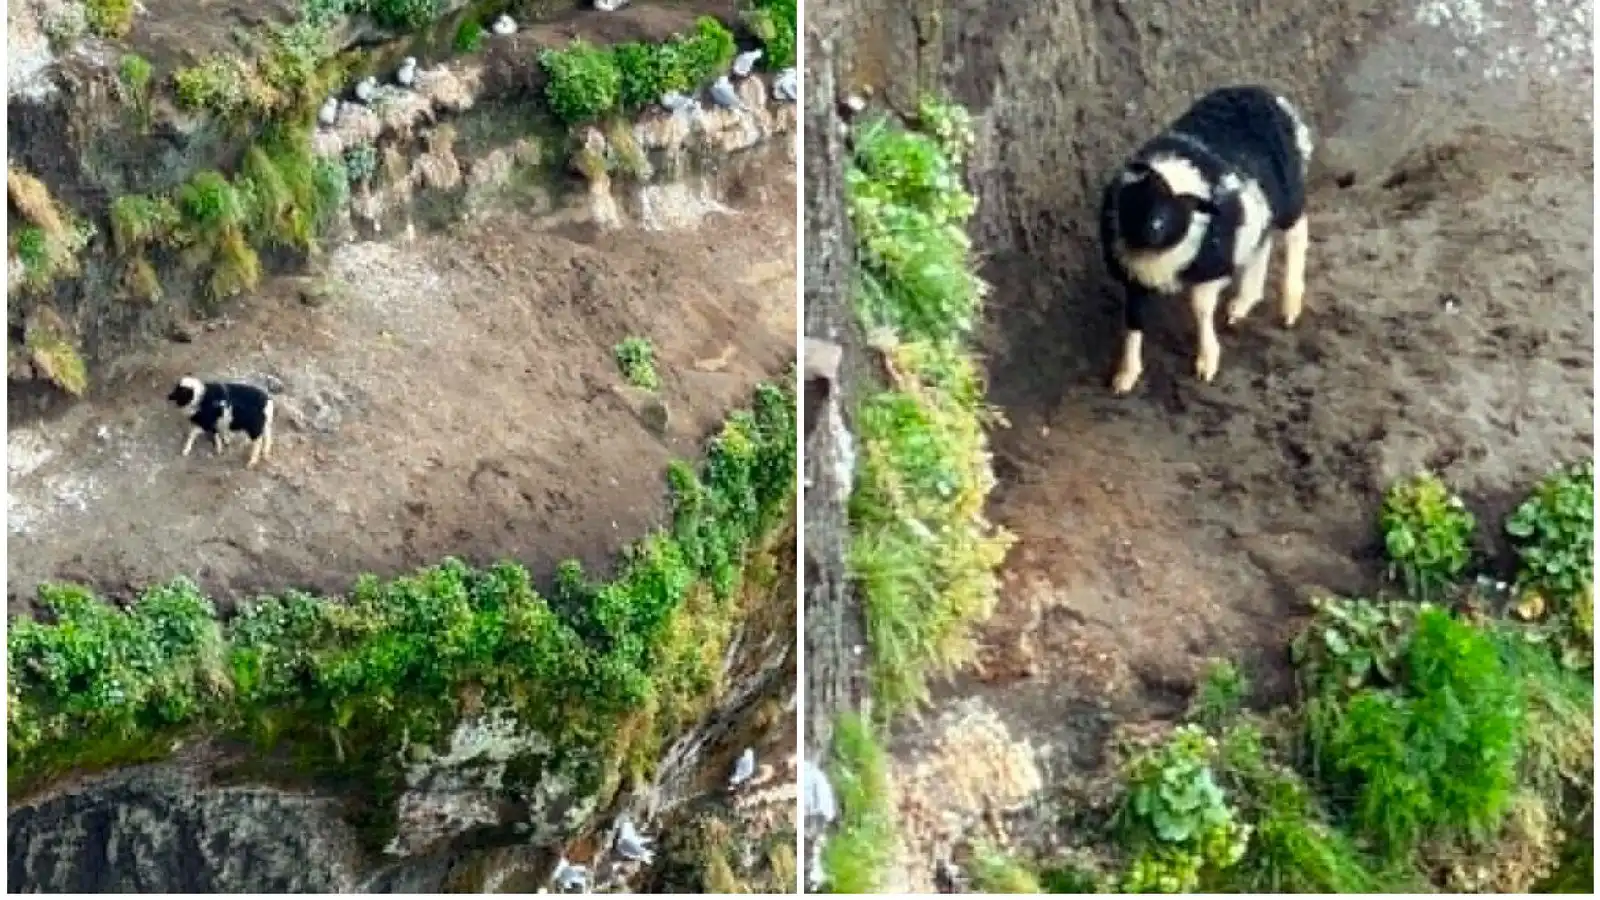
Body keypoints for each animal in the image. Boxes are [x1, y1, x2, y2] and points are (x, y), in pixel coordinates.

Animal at [1099, 85, 1314, 394]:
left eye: (1182, 209)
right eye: (1150, 193)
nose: (1153, 228)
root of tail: (1266, 93)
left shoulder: (1212, 268)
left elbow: (1200, 308)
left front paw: (1207, 361)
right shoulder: (1135, 276)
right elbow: (1134, 319)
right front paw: (1126, 374)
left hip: (1289, 195)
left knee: (1297, 234)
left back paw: (1290, 305)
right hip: (1263, 203)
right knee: (1261, 241)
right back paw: (1244, 302)